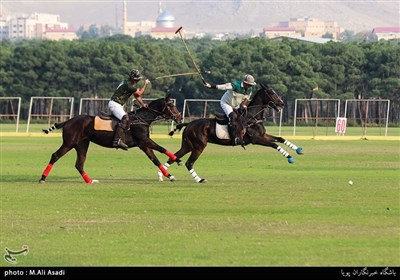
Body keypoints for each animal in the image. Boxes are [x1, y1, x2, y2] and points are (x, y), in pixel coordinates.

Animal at [38, 93, 182, 183]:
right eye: (171, 105)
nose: (179, 117)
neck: (142, 119)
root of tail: (67, 121)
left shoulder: (143, 145)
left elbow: (155, 160)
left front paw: (170, 176)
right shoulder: (144, 140)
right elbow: (161, 148)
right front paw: (178, 160)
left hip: (82, 144)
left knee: (79, 163)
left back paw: (90, 181)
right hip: (69, 142)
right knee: (55, 156)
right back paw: (42, 178)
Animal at [159, 84, 304, 183]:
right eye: (270, 92)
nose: (282, 103)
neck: (252, 117)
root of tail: (188, 124)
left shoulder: (262, 136)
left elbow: (280, 138)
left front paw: (297, 149)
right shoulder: (256, 139)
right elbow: (275, 145)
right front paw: (290, 157)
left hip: (188, 145)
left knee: (174, 157)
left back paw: (162, 175)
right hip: (199, 146)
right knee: (189, 163)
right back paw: (199, 179)